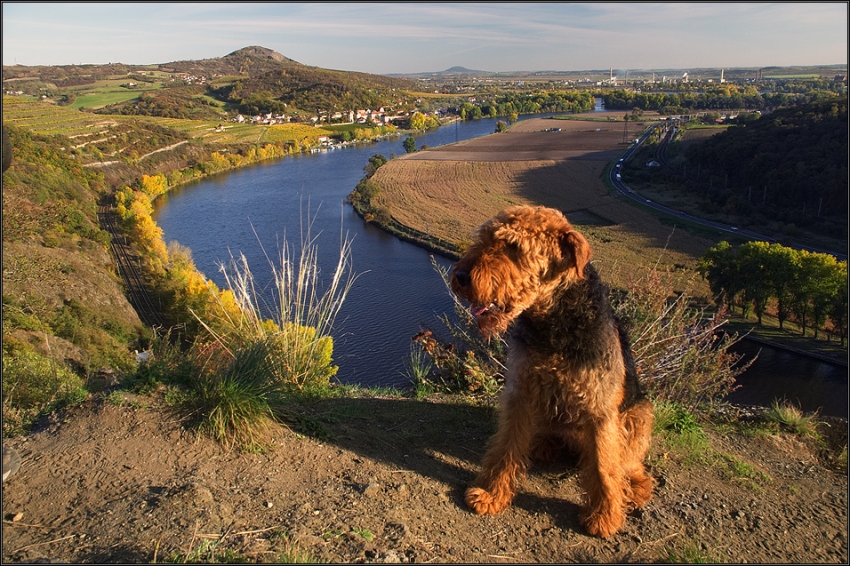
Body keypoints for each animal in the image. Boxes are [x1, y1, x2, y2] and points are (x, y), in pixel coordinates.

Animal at [448, 205, 652, 540]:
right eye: (485, 236)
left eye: (514, 247)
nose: (461, 276)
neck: (554, 322)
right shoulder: (521, 393)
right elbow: (506, 448)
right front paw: (491, 494)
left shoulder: (600, 409)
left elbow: (604, 467)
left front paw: (604, 517)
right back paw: (544, 444)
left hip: (639, 415)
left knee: (629, 464)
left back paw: (634, 488)